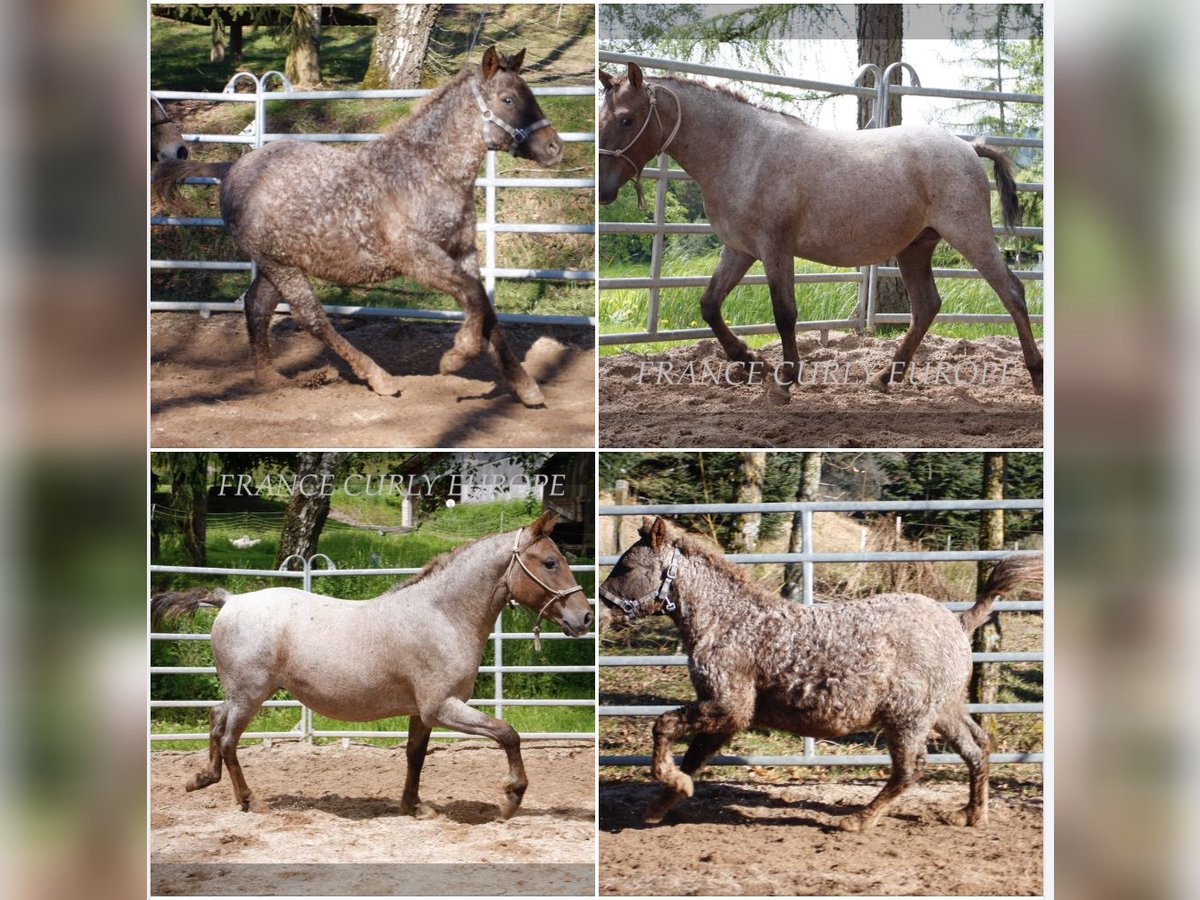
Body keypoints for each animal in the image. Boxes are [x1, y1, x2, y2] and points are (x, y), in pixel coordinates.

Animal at [151, 51, 561, 410]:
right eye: (508, 99)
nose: (554, 146)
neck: (426, 172)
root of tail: (232, 168)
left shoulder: (464, 253)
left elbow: (486, 309)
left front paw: (525, 387)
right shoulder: (418, 258)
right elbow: (474, 297)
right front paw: (457, 356)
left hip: (276, 265)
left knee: (257, 306)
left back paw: (271, 379)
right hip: (281, 267)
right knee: (311, 318)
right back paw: (378, 378)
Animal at [152, 511, 592, 820]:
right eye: (550, 562)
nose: (586, 617)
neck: (442, 616)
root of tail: (230, 601)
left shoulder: (422, 713)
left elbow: (416, 756)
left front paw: (415, 806)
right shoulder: (443, 707)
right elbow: (508, 734)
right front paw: (511, 798)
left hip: (242, 693)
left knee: (215, 717)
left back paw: (202, 779)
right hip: (251, 695)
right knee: (228, 738)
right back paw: (250, 800)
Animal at [597, 68, 1041, 408]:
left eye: (626, 119)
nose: (603, 190)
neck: (743, 151)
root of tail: (968, 147)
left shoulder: (775, 248)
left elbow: (784, 314)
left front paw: (783, 382)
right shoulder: (739, 250)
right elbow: (709, 306)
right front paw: (753, 363)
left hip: (970, 234)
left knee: (1012, 292)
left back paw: (1036, 376)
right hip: (915, 248)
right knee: (927, 306)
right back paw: (884, 377)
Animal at [600, 518, 1041, 835]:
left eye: (627, 566)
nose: (599, 613)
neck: (727, 622)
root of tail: (959, 622)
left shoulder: (728, 706)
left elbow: (663, 725)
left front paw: (671, 785)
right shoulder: (729, 716)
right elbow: (693, 758)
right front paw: (661, 804)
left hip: (907, 718)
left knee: (912, 768)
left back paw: (858, 820)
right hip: (944, 710)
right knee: (977, 747)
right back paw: (971, 815)